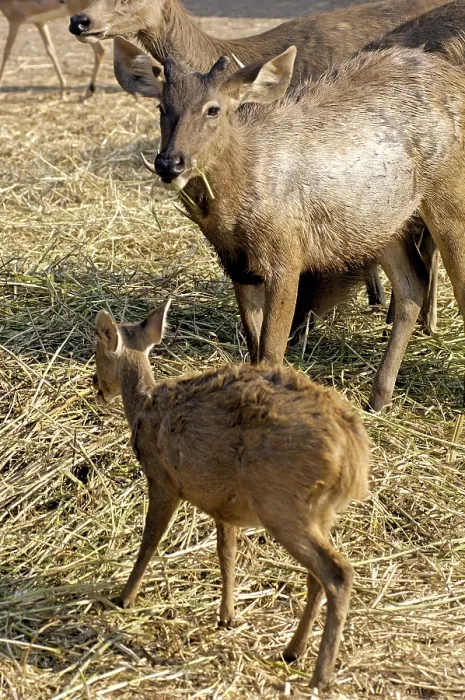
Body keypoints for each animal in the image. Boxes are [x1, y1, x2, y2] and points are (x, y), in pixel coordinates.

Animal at [93, 300, 370, 690]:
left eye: (97, 350)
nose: (96, 386)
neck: (144, 408)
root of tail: (353, 458)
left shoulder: (163, 480)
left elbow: (150, 541)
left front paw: (123, 598)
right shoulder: (224, 504)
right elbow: (227, 552)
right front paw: (227, 616)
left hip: (281, 503)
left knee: (337, 573)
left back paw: (319, 676)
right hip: (317, 513)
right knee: (317, 576)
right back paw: (292, 651)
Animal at [113, 38, 465, 412]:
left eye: (213, 109)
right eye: (162, 107)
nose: (170, 162)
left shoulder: (287, 254)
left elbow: (271, 350)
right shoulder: (238, 267)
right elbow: (254, 347)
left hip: (448, 196)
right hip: (384, 224)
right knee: (412, 285)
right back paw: (378, 398)